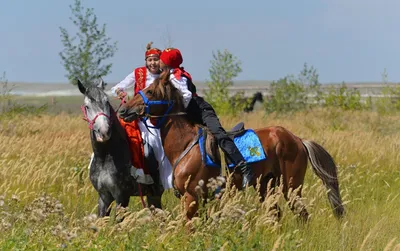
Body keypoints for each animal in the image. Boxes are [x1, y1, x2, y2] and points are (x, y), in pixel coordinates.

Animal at [77, 79, 163, 218]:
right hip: (153, 195)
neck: (105, 157)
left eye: (107, 102)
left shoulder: (122, 197)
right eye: (87, 106)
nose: (104, 131)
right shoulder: (104, 197)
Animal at [117, 72, 346, 222]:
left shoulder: (191, 198)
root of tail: (297, 139)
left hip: (291, 186)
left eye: (149, 91)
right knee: (276, 214)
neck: (185, 145)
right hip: (267, 185)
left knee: (302, 215)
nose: (123, 110)